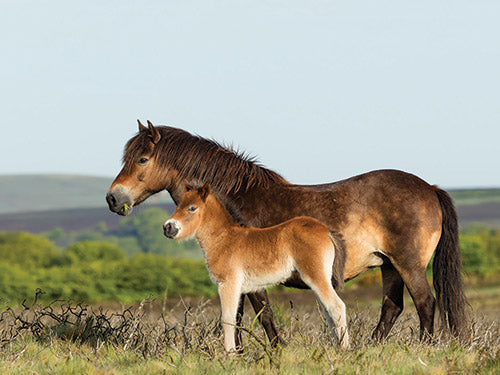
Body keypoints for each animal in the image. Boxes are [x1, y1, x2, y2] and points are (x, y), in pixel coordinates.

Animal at [106, 120, 468, 346]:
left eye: (142, 159)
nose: (113, 198)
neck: (234, 202)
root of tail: (430, 188)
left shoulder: (250, 278)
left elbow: (262, 314)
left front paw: (275, 350)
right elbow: (237, 314)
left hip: (407, 263)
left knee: (425, 302)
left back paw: (424, 348)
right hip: (389, 265)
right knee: (392, 308)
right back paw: (371, 348)